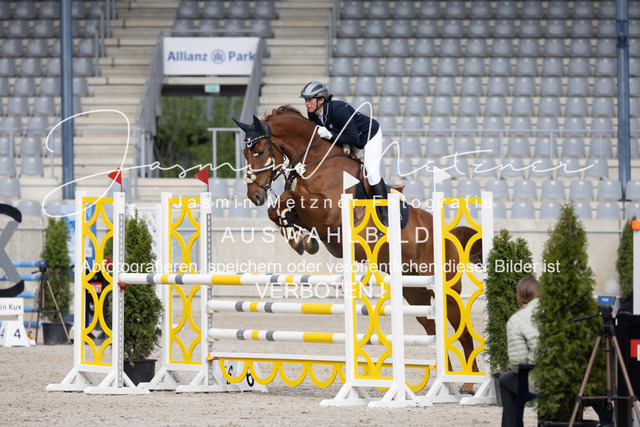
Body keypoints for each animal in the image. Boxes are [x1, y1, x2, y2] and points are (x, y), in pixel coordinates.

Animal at [234, 106, 483, 392]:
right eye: (245, 153)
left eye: (259, 151)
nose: (254, 196)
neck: (316, 162)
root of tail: (449, 234)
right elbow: (278, 210)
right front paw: (301, 241)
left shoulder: (329, 212)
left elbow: (288, 199)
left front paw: (300, 239)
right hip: (414, 292)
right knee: (432, 329)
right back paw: (446, 384)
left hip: (446, 290)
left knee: (463, 333)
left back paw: (469, 385)